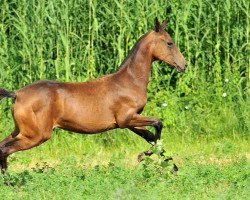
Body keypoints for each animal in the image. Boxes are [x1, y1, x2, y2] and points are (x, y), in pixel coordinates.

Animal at [0, 18, 187, 173]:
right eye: (170, 43)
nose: (184, 65)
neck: (129, 81)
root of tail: (17, 94)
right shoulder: (126, 118)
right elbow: (158, 124)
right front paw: (144, 156)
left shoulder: (129, 122)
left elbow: (152, 137)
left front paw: (173, 166)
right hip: (36, 135)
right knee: (5, 149)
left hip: (20, 131)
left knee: (2, 145)